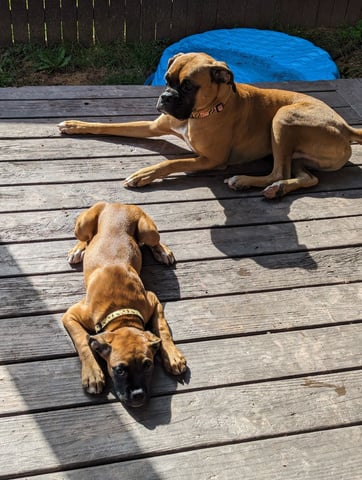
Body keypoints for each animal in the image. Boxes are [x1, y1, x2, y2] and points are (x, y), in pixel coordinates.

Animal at [57, 50, 362, 197]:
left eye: (188, 86)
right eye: (166, 79)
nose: (165, 97)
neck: (203, 112)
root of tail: (344, 125)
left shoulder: (212, 160)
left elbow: (173, 163)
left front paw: (145, 174)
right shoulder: (154, 127)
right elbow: (112, 126)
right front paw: (76, 125)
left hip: (283, 118)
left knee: (278, 171)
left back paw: (245, 181)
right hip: (299, 154)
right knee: (306, 177)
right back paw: (278, 189)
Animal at [61, 201, 187, 406]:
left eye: (148, 365)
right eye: (119, 369)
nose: (138, 396)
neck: (120, 311)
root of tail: (115, 203)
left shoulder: (153, 300)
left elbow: (162, 329)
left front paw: (172, 356)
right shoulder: (70, 315)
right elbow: (82, 341)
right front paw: (93, 374)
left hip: (147, 230)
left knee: (152, 241)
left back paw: (162, 251)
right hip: (82, 225)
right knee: (86, 239)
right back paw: (78, 250)